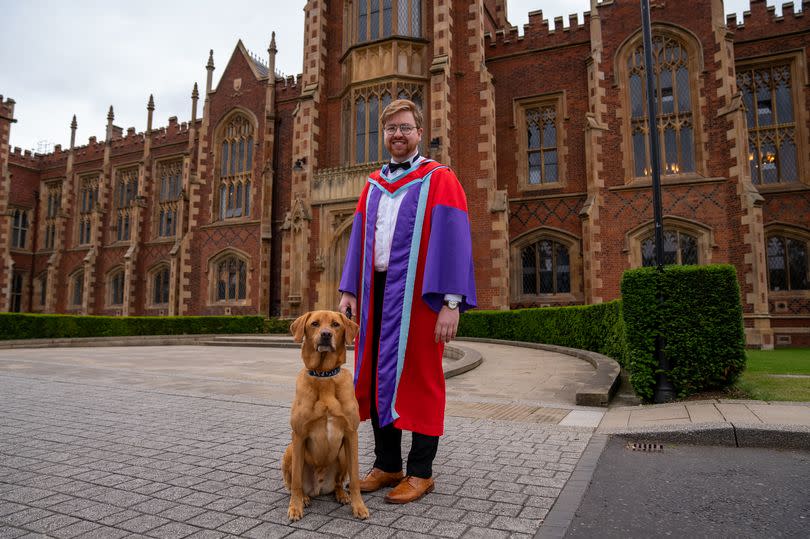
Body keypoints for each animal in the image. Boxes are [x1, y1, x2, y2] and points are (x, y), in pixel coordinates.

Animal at [280, 312, 370, 524]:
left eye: (336, 324)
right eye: (314, 324)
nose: (326, 335)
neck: (324, 376)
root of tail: (318, 487)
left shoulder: (351, 434)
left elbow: (354, 478)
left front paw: (359, 506)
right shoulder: (299, 435)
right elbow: (296, 482)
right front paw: (295, 507)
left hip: (343, 454)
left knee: (338, 483)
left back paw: (342, 495)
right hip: (290, 450)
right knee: (296, 484)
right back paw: (304, 498)